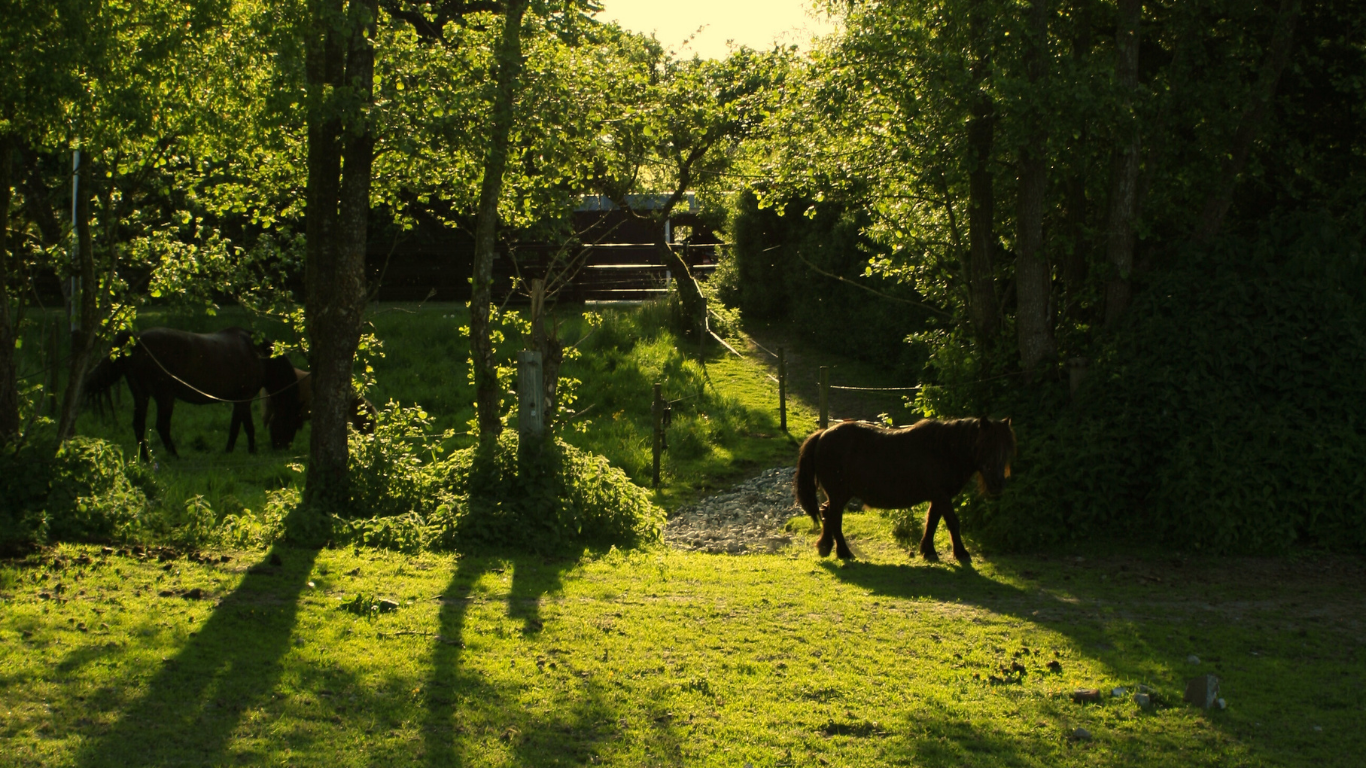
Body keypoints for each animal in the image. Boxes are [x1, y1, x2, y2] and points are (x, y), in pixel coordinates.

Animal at [85, 325, 301, 456]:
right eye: (290, 422)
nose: (283, 447)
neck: (257, 354)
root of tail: (136, 340)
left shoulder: (237, 400)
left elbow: (237, 426)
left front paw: (231, 450)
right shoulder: (245, 398)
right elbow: (246, 427)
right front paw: (249, 451)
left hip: (141, 395)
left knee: (138, 425)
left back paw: (145, 458)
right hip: (165, 396)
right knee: (162, 426)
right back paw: (174, 456)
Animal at [792, 415, 1016, 560]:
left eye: (1006, 448)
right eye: (986, 445)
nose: (998, 485)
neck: (943, 450)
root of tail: (823, 434)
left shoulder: (938, 497)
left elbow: (932, 522)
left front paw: (928, 551)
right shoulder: (942, 496)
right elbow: (952, 522)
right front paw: (961, 553)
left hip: (838, 496)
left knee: (828, 514)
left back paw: (828, 547)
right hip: (839, 495)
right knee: (833, 518)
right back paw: (842, 552)